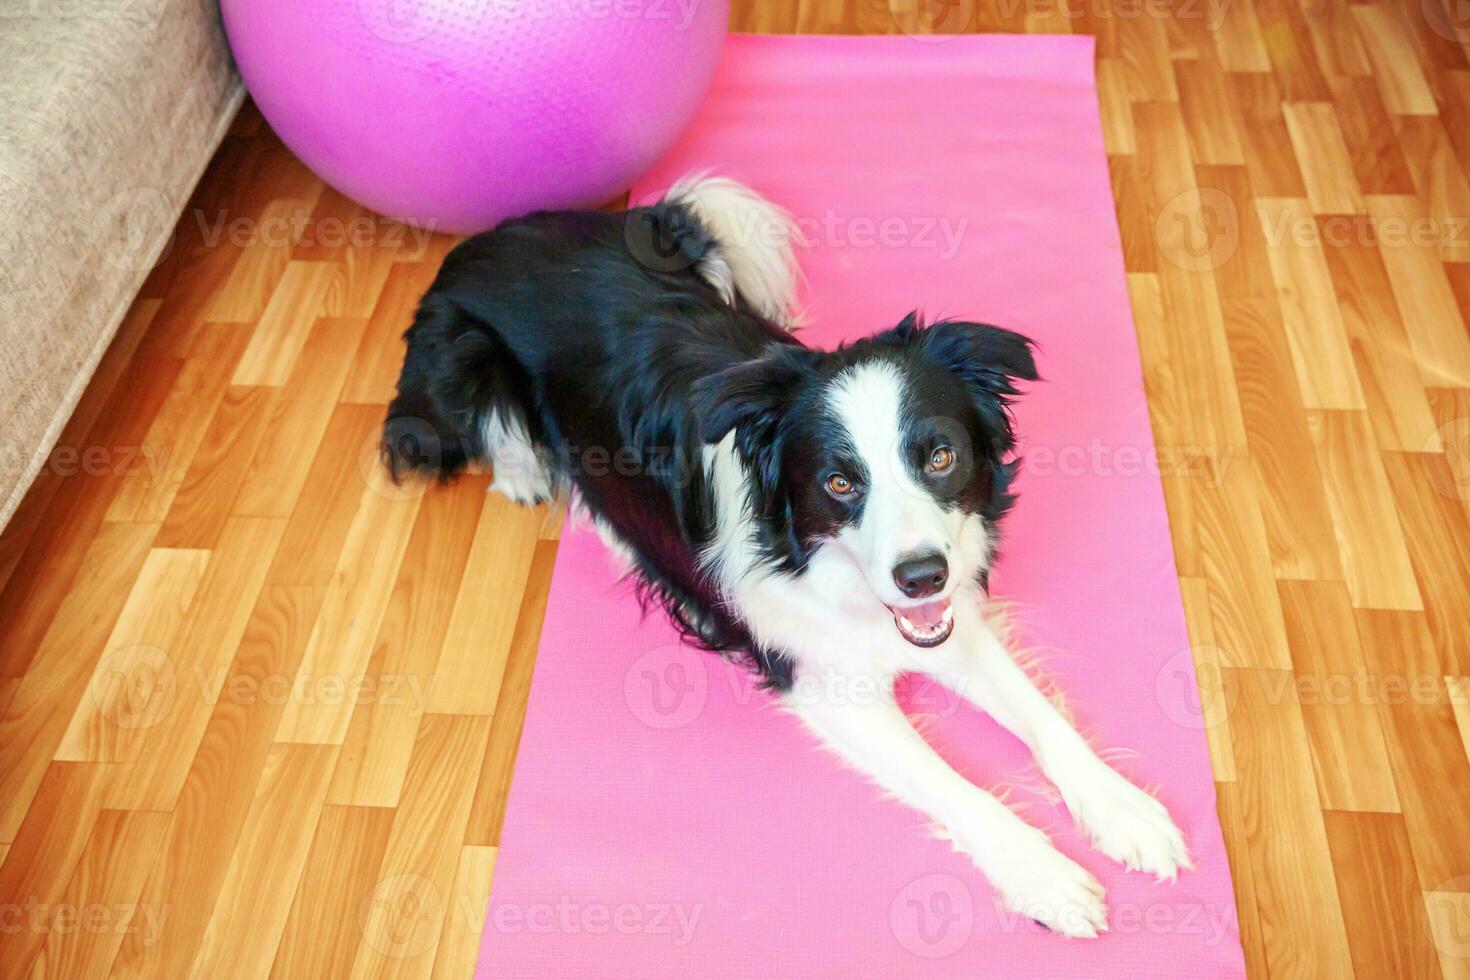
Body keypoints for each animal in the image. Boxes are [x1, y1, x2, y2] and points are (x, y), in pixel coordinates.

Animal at [385, 174, 1187, 934]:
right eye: (838, 482)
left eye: (940, 456)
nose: (920, 575)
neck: (816, 564)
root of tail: (492, 234)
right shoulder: (826, 684)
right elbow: (955, 786)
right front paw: (1046, 877)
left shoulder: (946, 618)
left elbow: (1042, 716)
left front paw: (1126, 812)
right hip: (460, 356)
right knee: (482, 426)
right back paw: (529, 475)